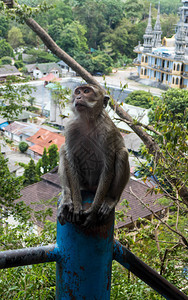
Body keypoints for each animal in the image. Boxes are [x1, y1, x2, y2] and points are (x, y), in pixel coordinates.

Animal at [58, 84, 130, 227]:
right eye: (78, 92)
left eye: (86, 91)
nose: (78, 97)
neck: (88, 121)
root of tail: (91, 188)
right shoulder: (70, 128)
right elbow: (71, 162)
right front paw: (76, 205)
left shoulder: (106, 132)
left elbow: (108, 169)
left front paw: (92, 213)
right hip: (83, 183)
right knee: (63, 150)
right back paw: (67, 198)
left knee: (122, 154)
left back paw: (111, 199)